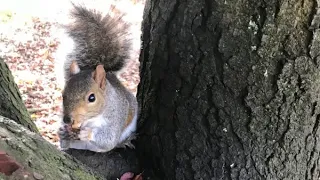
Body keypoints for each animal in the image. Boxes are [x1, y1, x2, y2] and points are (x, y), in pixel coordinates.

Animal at [57, 3, 138, 153]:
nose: (67, 120)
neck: (89, 120)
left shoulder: (115, 117)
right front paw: (62, 131)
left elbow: (108, 139)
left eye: (92, 98)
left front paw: (87, 133)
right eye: (63, 95)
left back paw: (123, 142)